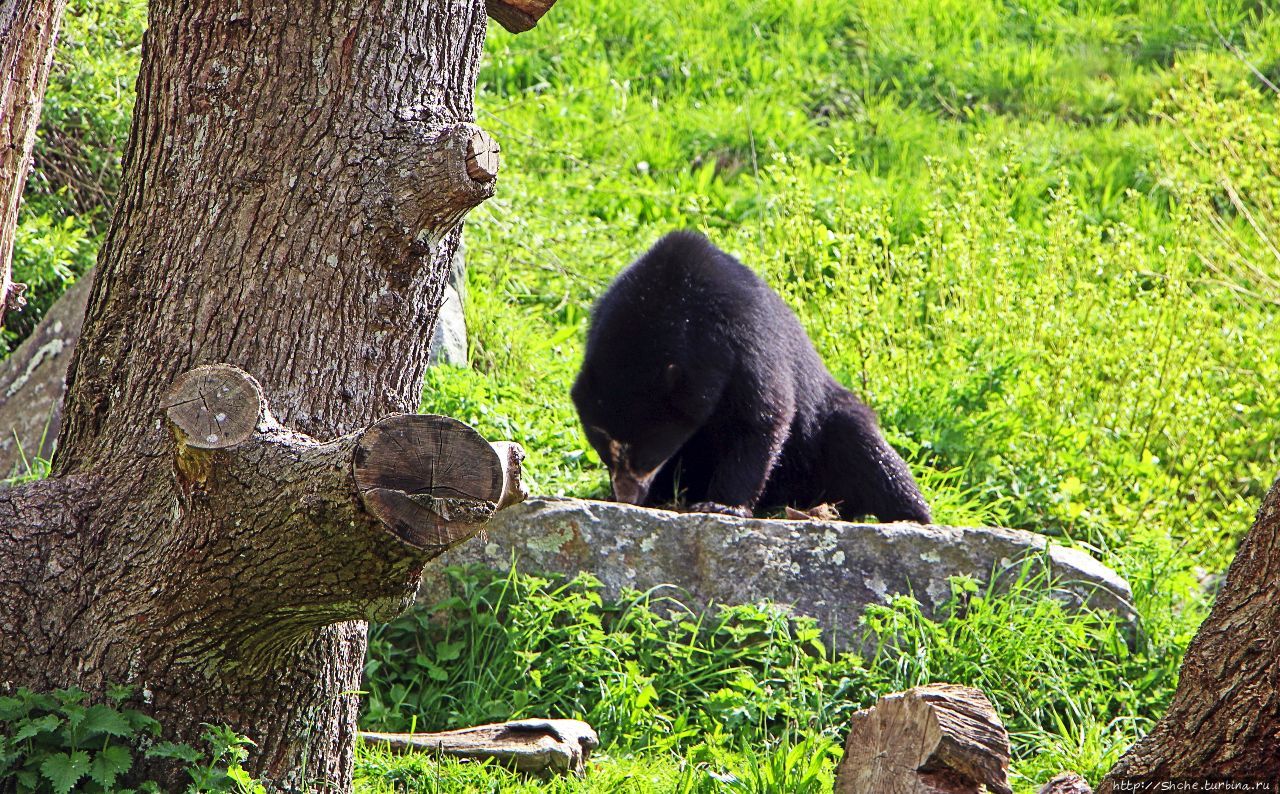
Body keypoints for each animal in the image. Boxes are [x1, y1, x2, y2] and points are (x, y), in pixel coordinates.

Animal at [570, 229, 931, 525]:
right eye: (604, 449)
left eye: (647, 453)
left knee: (867, 451)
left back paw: (910, 515)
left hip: (823, 433)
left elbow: (761, 416)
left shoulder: (744, 341)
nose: (627, 496)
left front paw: (720, 505)